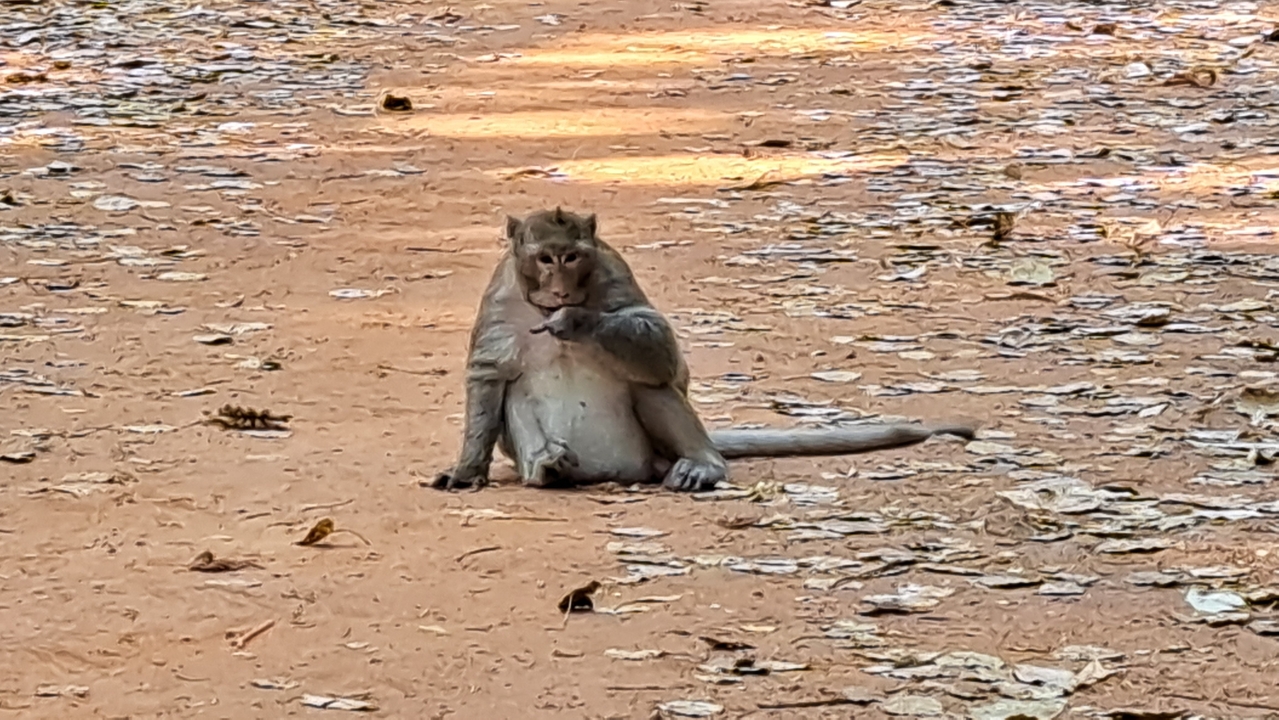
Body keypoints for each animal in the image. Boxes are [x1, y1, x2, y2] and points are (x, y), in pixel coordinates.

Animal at [431, 207, 975, 493]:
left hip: (651, 453)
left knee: (649, 385)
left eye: (573, 257)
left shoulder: (612, 272)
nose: (560, 287)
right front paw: (466, 470)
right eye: (545, 258)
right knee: (516, 397)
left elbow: (664, 353)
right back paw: (547, 469)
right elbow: (489, 377)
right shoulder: (500, 300)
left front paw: (578, 321)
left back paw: (702, 464)